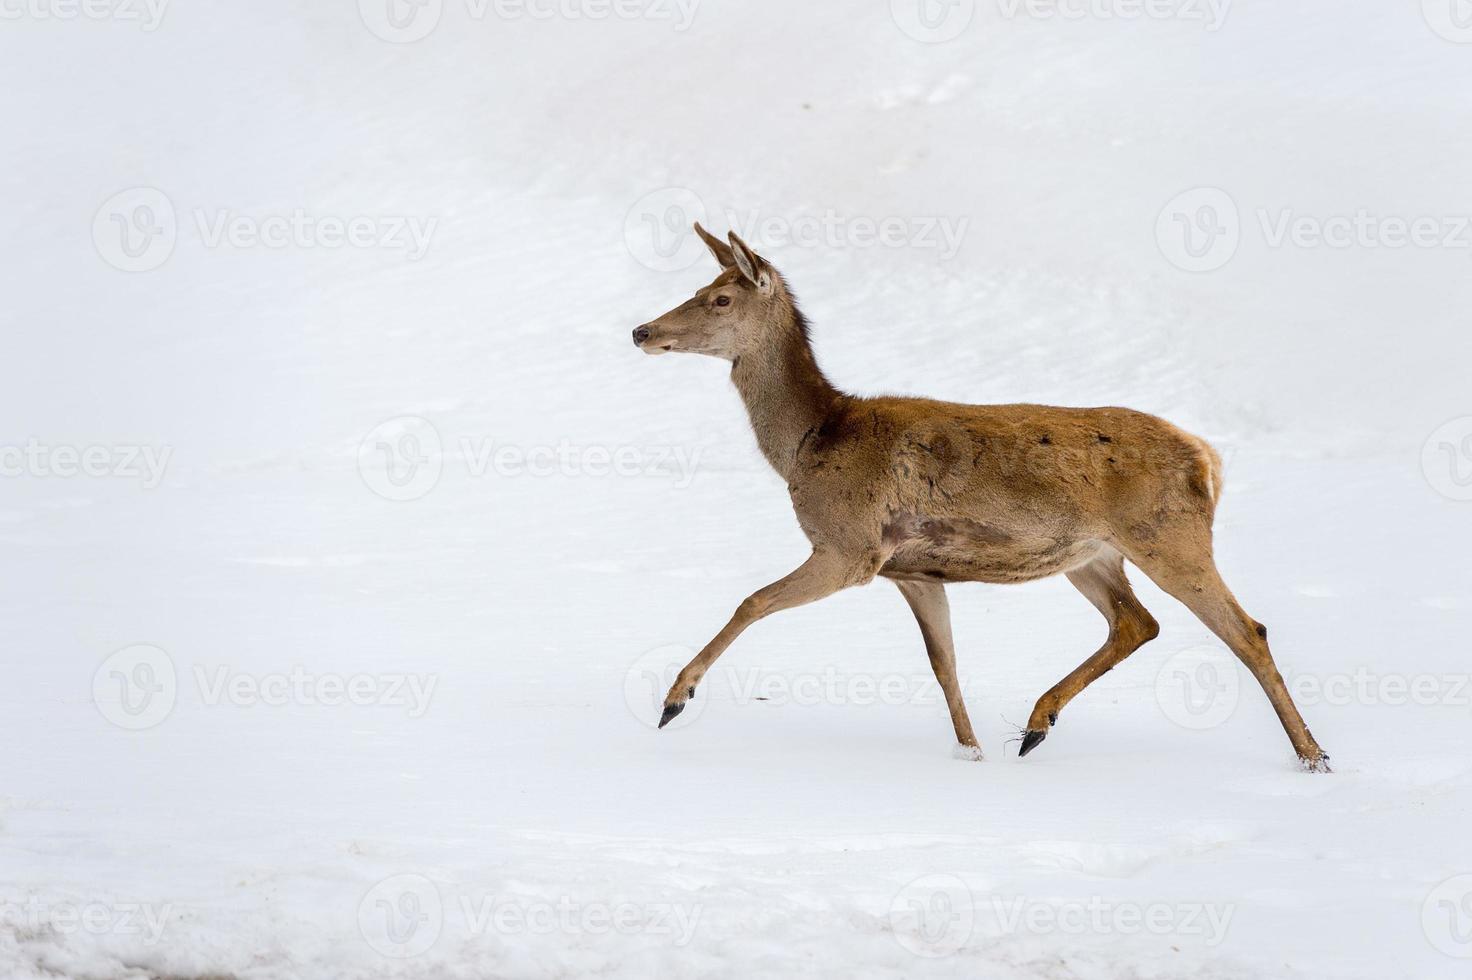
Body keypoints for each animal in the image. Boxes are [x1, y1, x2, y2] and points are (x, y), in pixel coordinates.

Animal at [632, 223, 1336, 771]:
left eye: (720, 298)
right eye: (696, 289)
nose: (641, 330)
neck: (810, 441)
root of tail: (1207, 457)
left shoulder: (850, 546)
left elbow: (751, 600)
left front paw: (673, 699)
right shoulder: (912, 571)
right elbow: (943, 661)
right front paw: (968, 751)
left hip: (1170, 535)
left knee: (1246, 630)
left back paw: (1312, 755)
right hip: (1092, 555)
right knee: (1137, 622)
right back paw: (1035, 725)